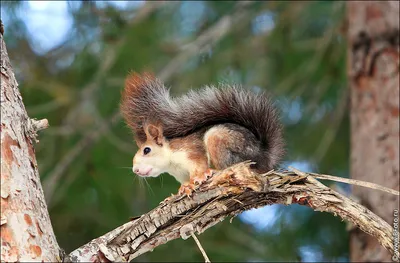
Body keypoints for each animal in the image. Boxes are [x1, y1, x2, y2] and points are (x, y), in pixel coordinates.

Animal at [121, 72, 284, 196]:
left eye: (147, 150)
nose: (135, 170)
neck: (171, 164)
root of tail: (264, 157)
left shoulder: (190, 151)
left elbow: (199, 164)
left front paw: (200, 176)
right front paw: (185, 187)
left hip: (222, 140)